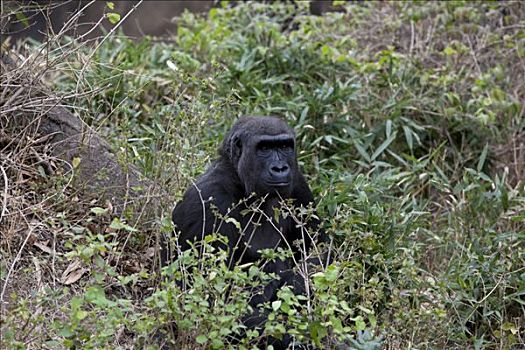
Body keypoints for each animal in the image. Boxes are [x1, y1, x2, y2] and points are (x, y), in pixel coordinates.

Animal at [163, 115, 328, 348]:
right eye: (264, 148)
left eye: (285, 146)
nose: (280, 168)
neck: (239, 180)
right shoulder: (208, 199)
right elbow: (209, 301)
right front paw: (299, 339)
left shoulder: (298, 182)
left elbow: (318, 252)